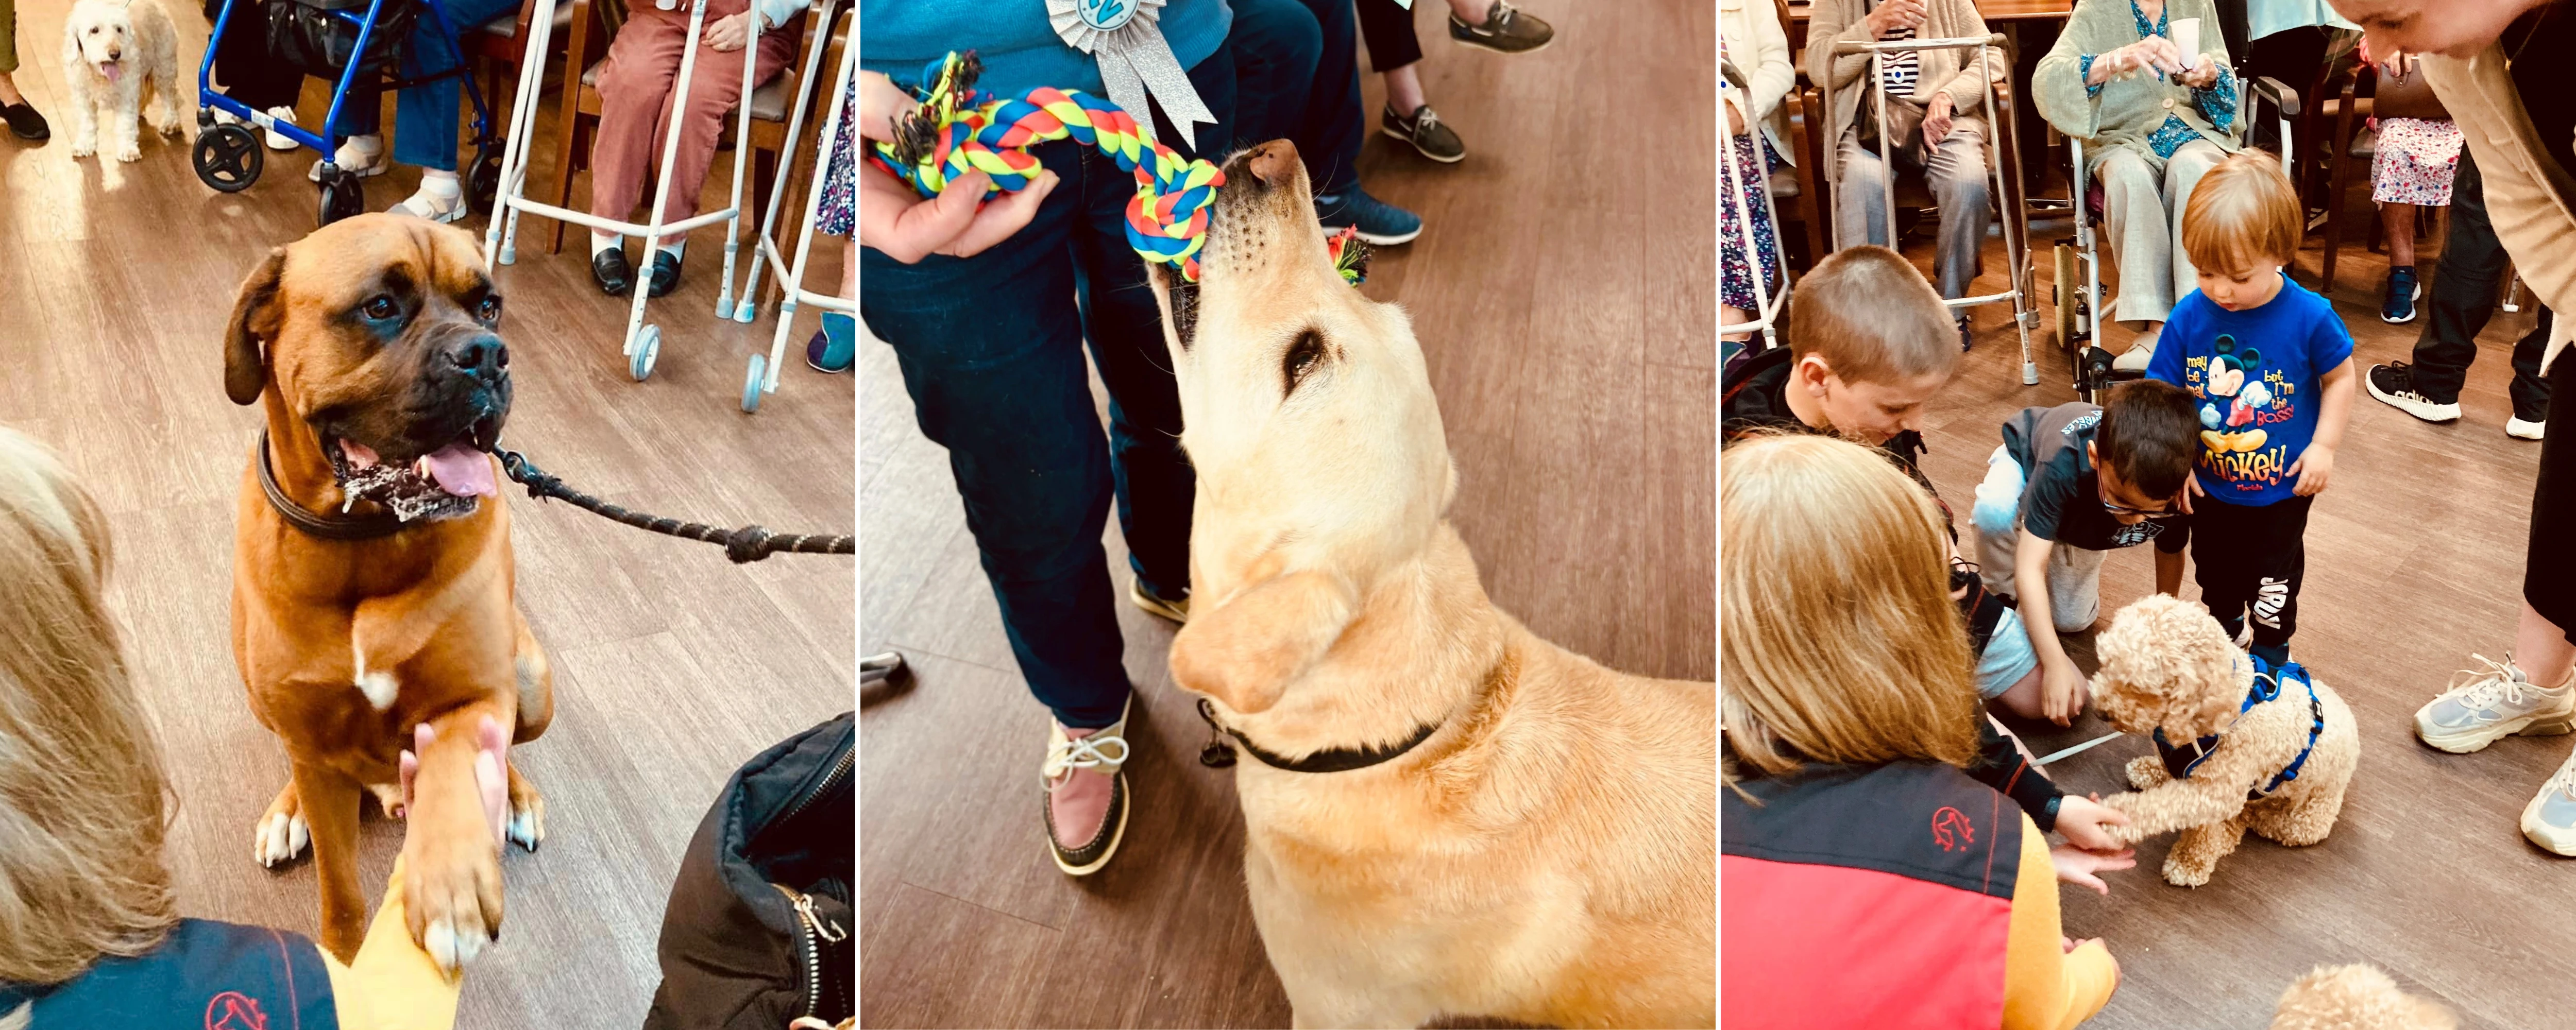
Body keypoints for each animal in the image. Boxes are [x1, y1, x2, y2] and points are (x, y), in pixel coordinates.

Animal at [61, 0, 184, 161]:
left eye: (119, 29)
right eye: (94, 30)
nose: (115, 54)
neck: (101, 78)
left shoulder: (127, 95)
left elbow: (125, 124)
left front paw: (128, 149)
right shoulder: (83, 97)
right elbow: (87, 123)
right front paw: (85, 145)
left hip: (164, 68)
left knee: (170, 97)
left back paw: (171, 122)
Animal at [225, 214, 549, 968]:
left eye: (489, 306)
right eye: (379, 307)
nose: (489, 355)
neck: (362, 543)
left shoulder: (471, 699)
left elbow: (459, 765)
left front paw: (452, 886)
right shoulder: (310, 745)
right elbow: (340, 888)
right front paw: (344, 959)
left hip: (533, 675)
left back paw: (517, 798)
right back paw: (286, 811)